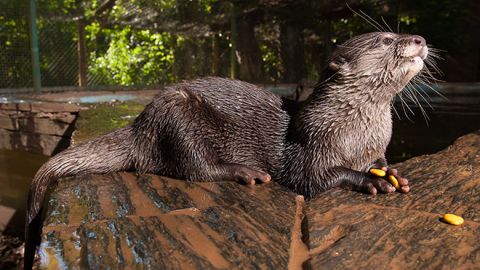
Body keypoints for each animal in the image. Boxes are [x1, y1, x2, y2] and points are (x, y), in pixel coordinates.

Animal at [25, 31, 432, 268]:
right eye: (385, 40)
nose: (419, 38)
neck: (358, 132)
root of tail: (141, 124)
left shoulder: (377, 147)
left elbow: (383, 161)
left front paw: (392, 173)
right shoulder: (310, 146)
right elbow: (314, 178)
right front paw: (368, 180)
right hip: (178, 117)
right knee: (193, 168)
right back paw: (245, 172)